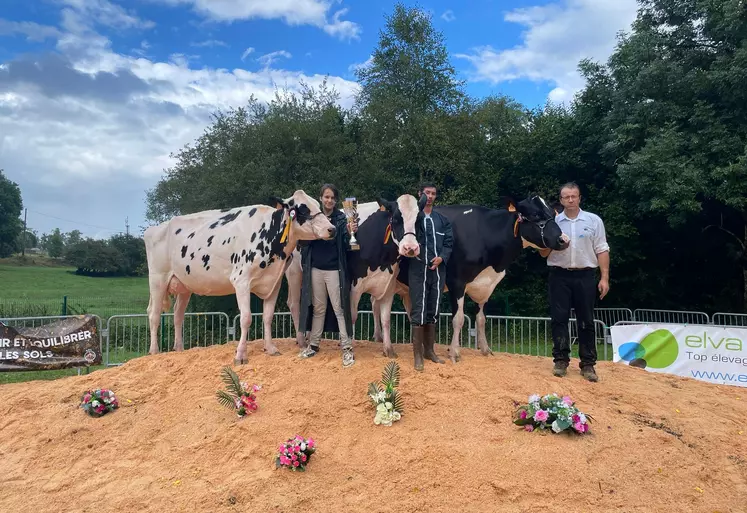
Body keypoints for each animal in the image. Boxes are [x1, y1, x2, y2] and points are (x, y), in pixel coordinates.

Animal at [143, 189, 336, 364]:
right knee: (154, 313)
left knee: (178, 314)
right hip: (157, 279)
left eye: (317, 204)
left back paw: (179, 349)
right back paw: (154, 351)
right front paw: (240, 355)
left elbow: (268, 316)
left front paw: (270, 348)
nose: (332, 229)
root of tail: (154, 228)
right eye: (302, 209)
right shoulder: (241, 281)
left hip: (184, 284)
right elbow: (246, 318)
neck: (269, 233)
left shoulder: (274, 282)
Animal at [284, 192, 426, 356]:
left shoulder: (388, 285)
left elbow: (386, 319)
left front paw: (388, 349)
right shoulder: (353, 285)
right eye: (396, 219)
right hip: (294, 272)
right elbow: (351, 316)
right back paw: (301, 341)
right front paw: (347, 345)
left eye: (419, 219)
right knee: (294, 303)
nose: (411, 248)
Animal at [382, 194, 568, 362]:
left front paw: (485, 349)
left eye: (553, 213)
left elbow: (481, 319)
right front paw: (454, 352)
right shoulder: (457, 282)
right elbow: (458, 319)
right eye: (536, 214)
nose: (564, 240)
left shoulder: (486, 286)